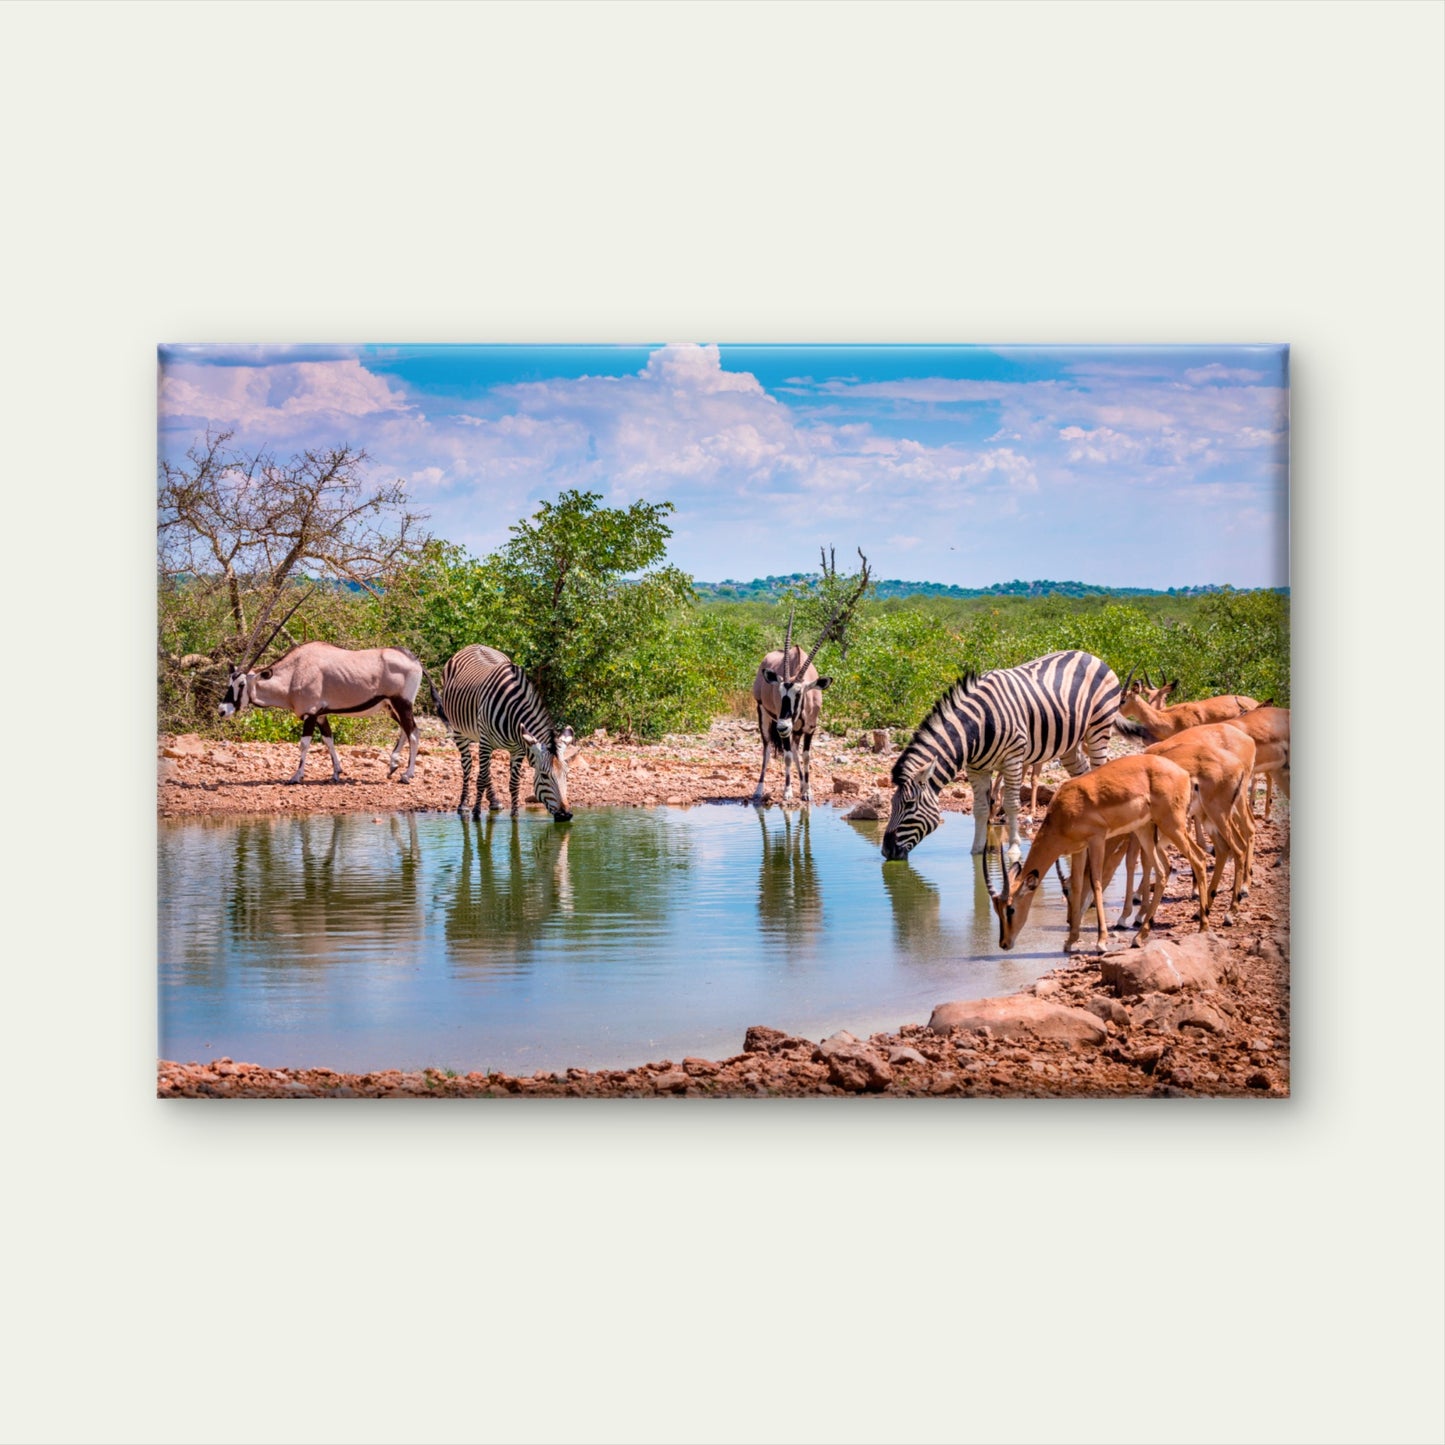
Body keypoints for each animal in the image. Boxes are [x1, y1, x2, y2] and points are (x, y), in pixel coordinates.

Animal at [218, 640, 425, 785]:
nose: (222, 710)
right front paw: (336, 773)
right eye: (229, 682)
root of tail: (413, 659)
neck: (294, 672)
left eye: (241, 684)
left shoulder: (310, 714)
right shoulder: (321, 715)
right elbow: (328, 740)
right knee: (405, 731)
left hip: (402, 703)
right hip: (390, 707)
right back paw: (393, 766)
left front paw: (296, 776)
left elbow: (304, 744)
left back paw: (407, 775)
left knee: (414, 733)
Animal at [432, 644, 575, 821]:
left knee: (485, 771)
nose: (565, 815)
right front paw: (476, 813)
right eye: (544, 776)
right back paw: (464, 804)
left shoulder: (519, 749)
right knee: (468, 764)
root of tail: (473, 645)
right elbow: (480, 779)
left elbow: (513, 784)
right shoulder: (486, 741)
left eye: (567, 774)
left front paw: (515, 815)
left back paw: (494, 801)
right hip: (460, 731)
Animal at [881, 650, 1123, 862]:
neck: (977, 726)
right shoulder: (976, 768)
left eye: (909, 805)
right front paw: (977, 850)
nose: (886, 851)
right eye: (892, 803)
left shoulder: (1013, 758)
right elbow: (980, 809)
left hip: (1098, 728)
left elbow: (1011, 804)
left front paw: (1014, 849)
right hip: (1069, 746)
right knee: (1083, 774)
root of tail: (1090, 655)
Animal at [983, 753, 1212, 954]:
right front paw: (1070, 941)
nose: (1004, 943)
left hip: (1172, 826)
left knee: (1199, 858)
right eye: (996, 908)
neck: (1064, 811)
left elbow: (1097, 883)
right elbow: (1078, 885)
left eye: (1010, 909)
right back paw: (1139, 936)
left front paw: (1101, 942)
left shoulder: (1097, 840)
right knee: (1165, 869)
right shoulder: (1078, 849)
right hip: (1146, 830)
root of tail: (1184, 774)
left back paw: (1203, 926)